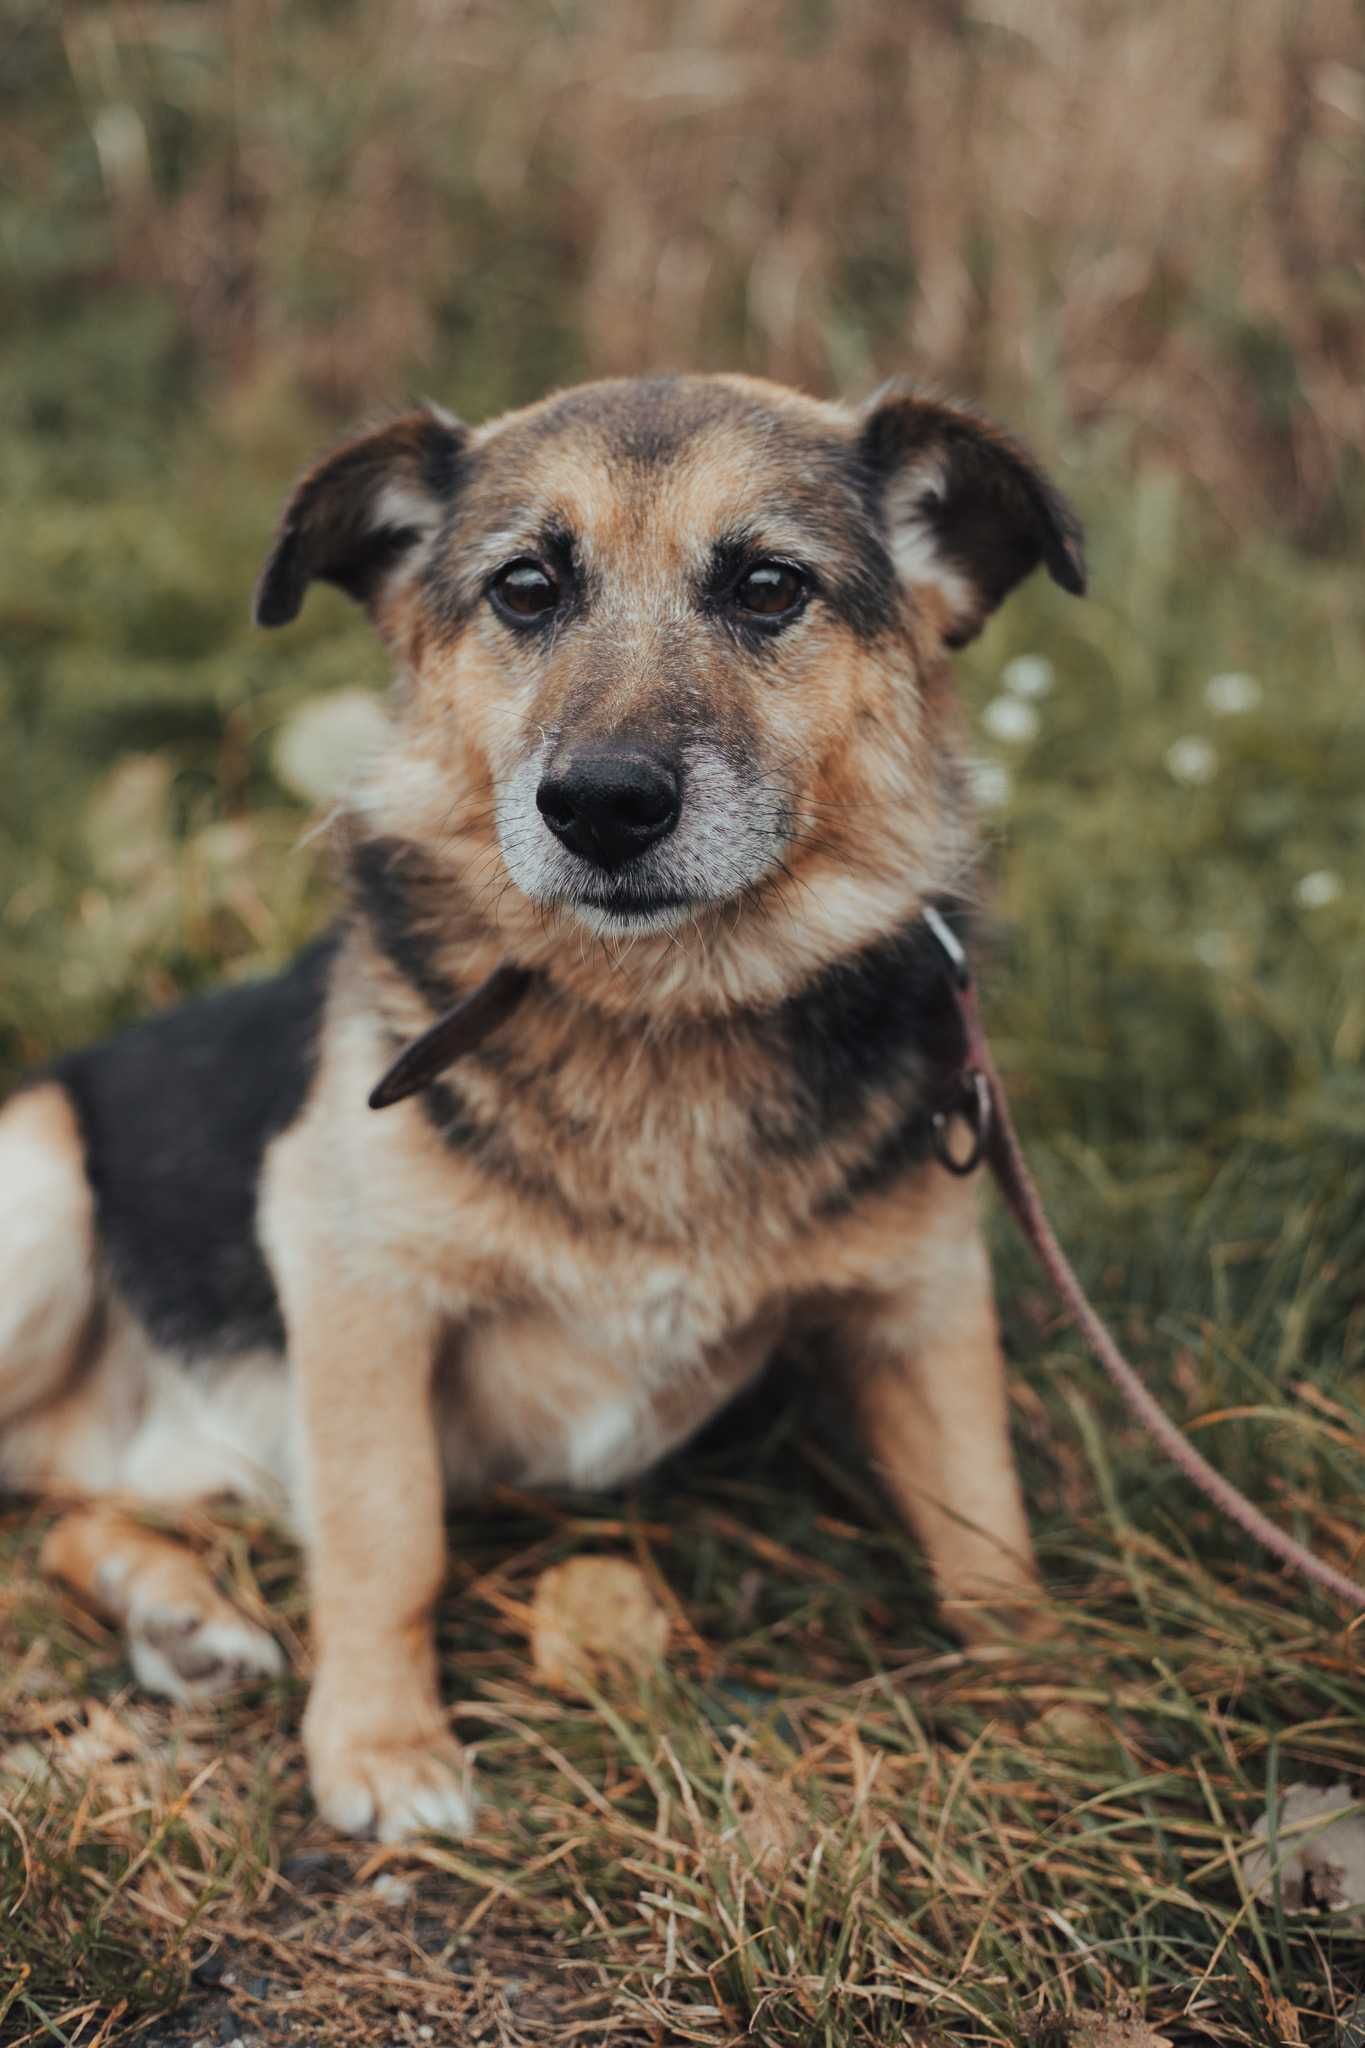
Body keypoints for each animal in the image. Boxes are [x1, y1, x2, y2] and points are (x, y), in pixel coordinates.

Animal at [2, 368, 1088, 1843]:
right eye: (524, 587)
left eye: (767, 585)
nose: (601, 804)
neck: (662, 1010)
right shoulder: (353, 1283)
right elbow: (387, 1527)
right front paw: (384, 1741)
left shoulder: (922, 1303)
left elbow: (986, 1527)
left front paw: (1055, 1701)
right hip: (44, 1195)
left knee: (59, 1509)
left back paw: (176, 1615)